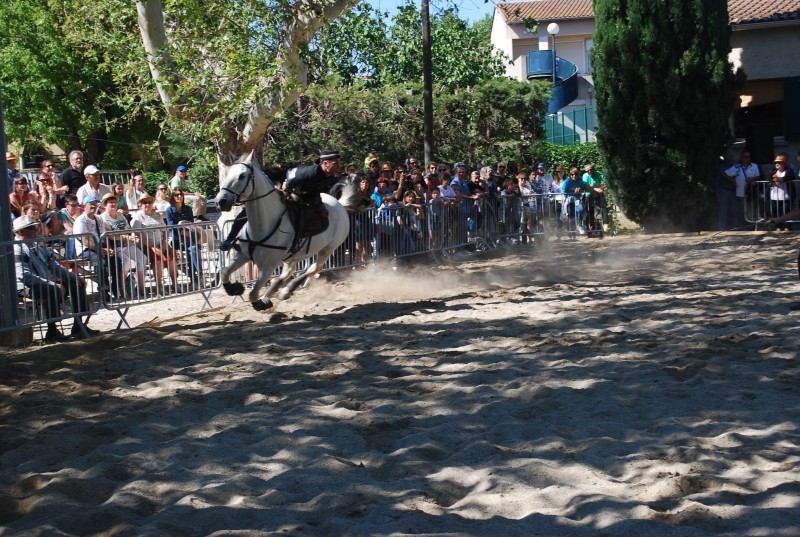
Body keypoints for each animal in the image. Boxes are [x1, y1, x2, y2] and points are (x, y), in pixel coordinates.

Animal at [216, 152, 360, 310]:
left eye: (242, 176)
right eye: (227, 173)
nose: (221, 201)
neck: (263, 224)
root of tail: (340, 205)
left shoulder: (268, 266)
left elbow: (253, 294)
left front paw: (259, 303)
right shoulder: (243, 254)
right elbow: (224, 272)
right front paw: (234, 289)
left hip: (328, 249)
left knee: (314, 268)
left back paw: (286, 290)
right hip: (293, 254)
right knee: (289, 271)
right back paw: (271, 294)